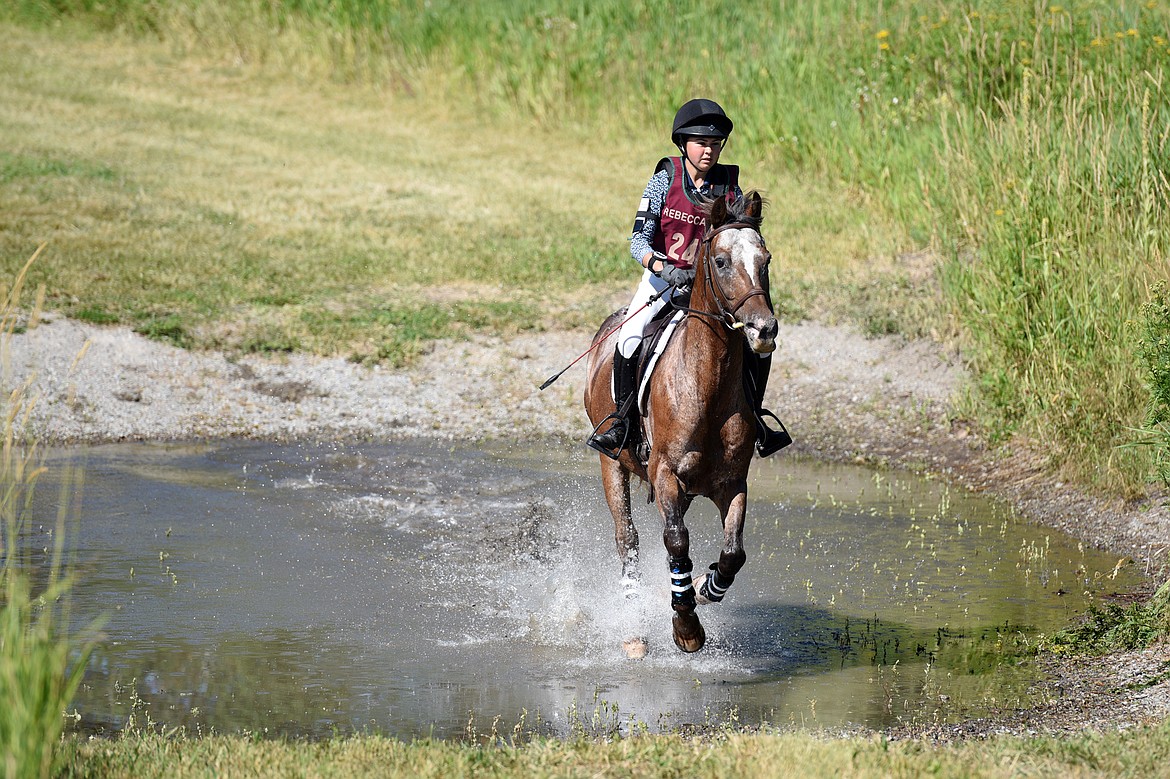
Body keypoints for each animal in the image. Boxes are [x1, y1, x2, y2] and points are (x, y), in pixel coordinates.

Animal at [582, 190, 776, 650]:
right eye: (721, 261)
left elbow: (733, 552)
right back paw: (633, 615)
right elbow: (675, 540)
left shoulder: (731, 482)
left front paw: (706, 588)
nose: (764, 330)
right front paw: (686, 626)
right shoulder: (666, 473)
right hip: (611, 462)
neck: (707, 384)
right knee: (627, 539)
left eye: (765, 260)